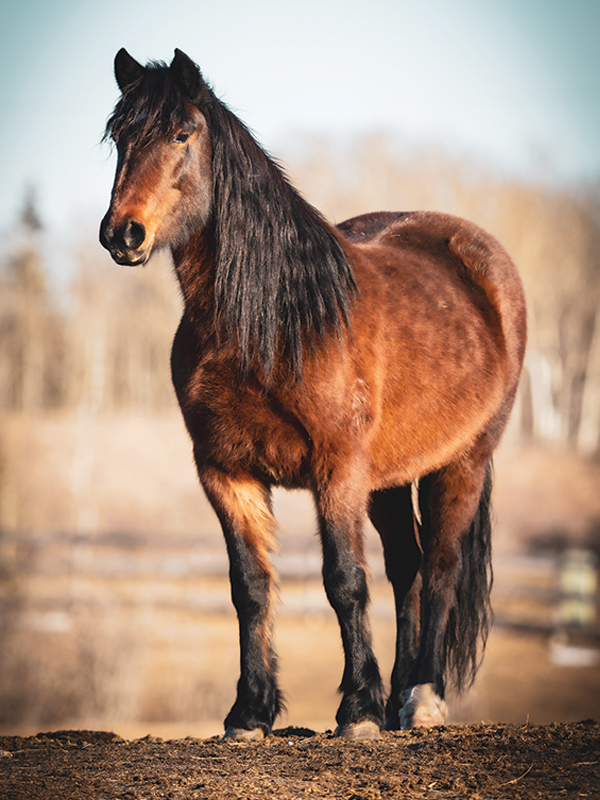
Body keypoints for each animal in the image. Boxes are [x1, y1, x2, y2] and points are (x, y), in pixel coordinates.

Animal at [100, 48, 527, 740]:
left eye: (182, 134)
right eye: (118, 136)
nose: (123, 234)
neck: (269, 322)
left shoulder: (337, 469)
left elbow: (344, 581)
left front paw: (357, 710)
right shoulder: (224, 470)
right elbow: (249, 586)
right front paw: (250, 713)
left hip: (461, 461)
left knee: (439, 568)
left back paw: (422, 698)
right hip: (387, 478)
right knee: (407, 566)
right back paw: (399, 695)